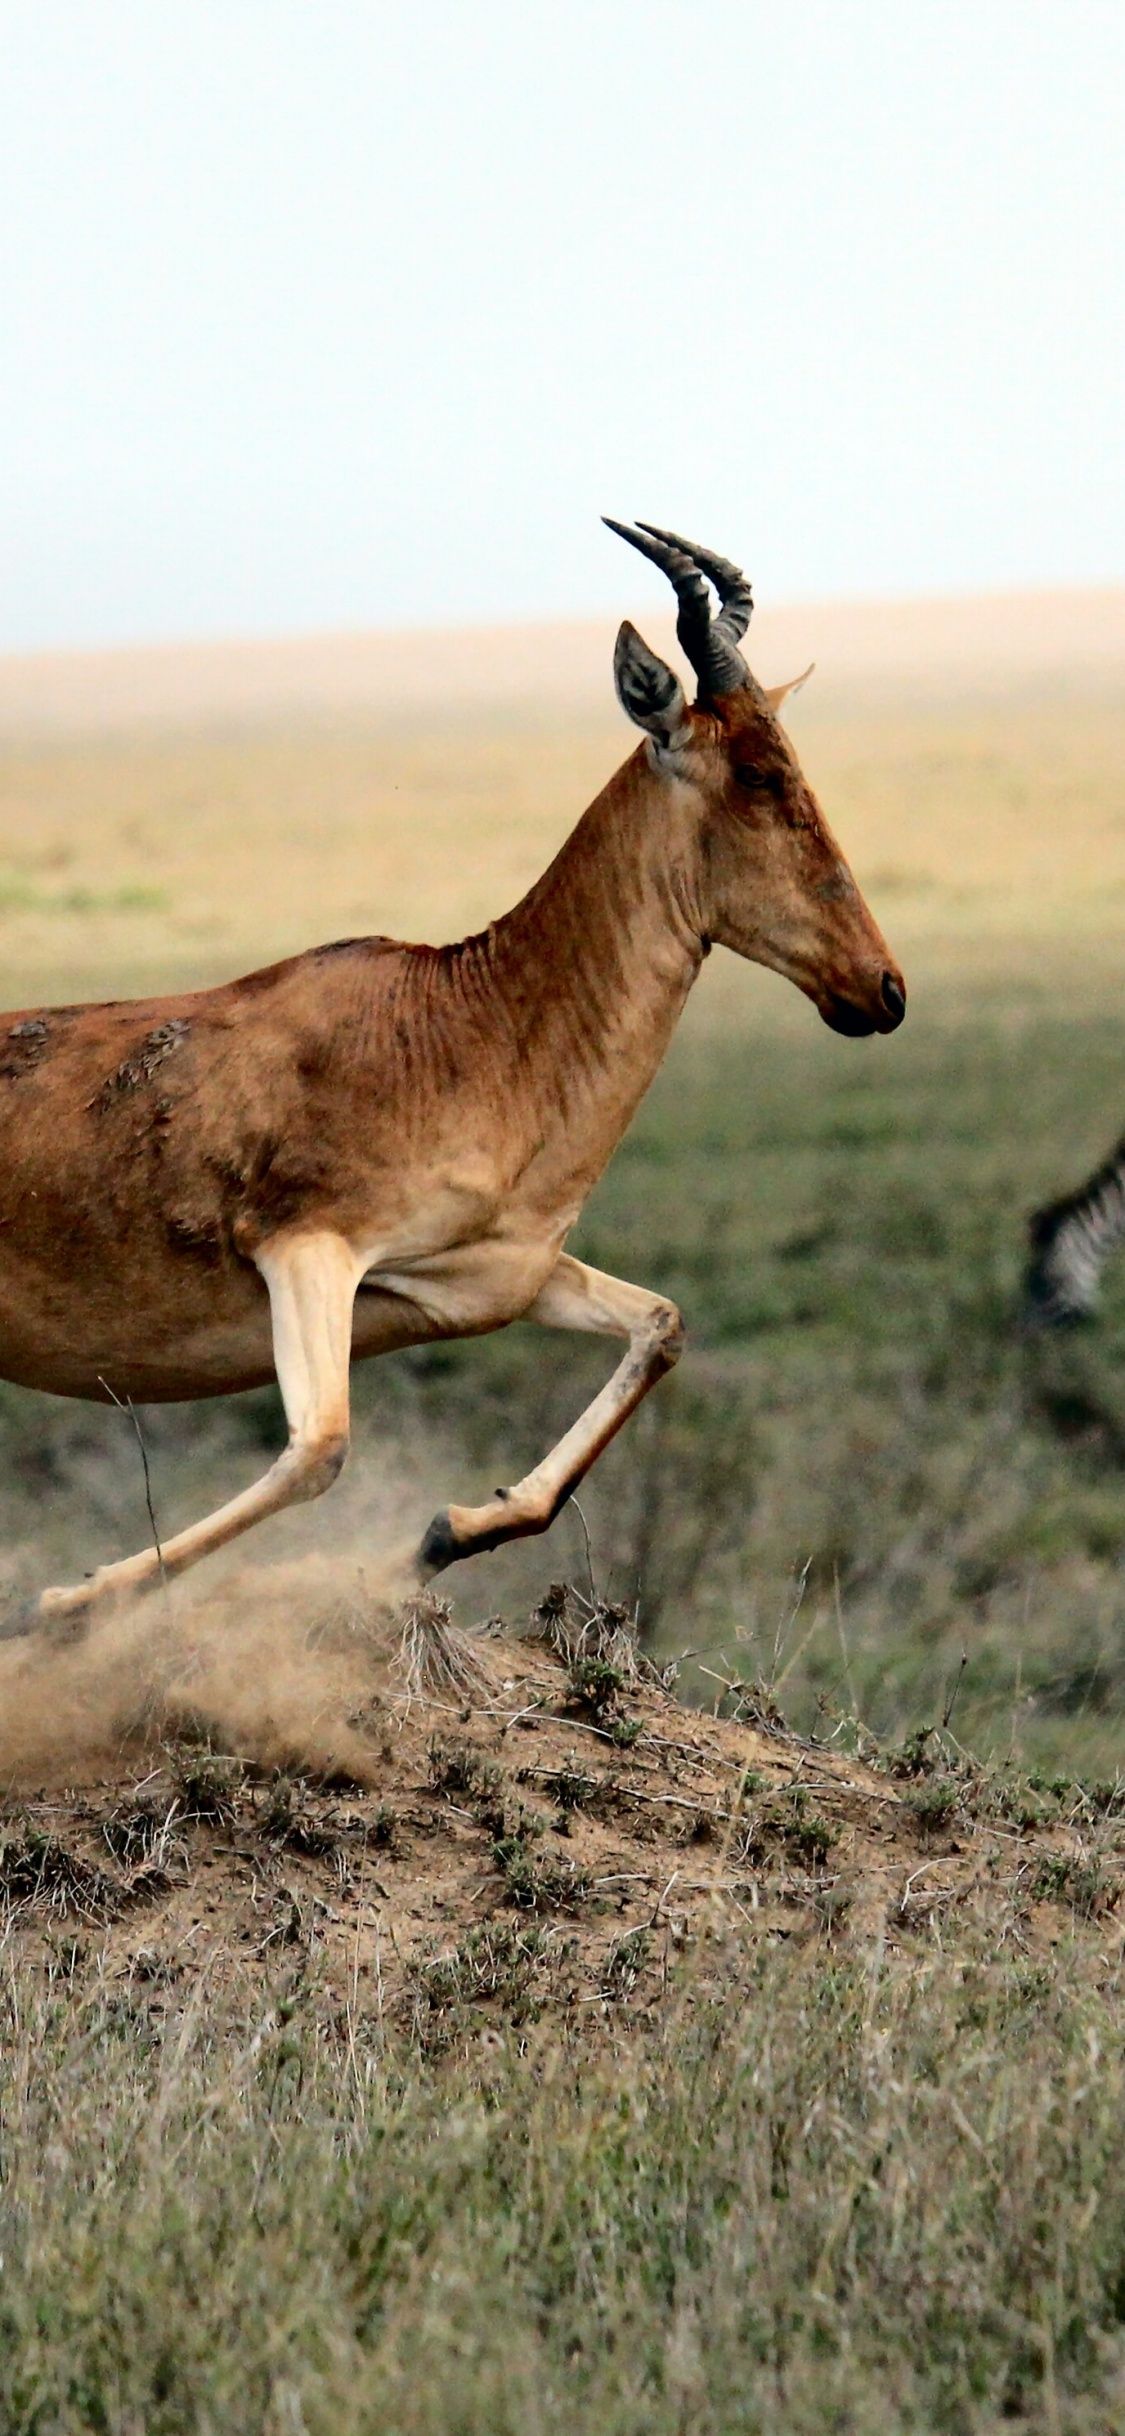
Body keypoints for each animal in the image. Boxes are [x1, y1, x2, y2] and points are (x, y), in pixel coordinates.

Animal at [0, 522, 905, 1636]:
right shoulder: (307, 1251)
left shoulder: (500, 1278)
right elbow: (319, 1450)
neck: (461, 1022)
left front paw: (436, 1539)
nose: (879, 988)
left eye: (789, 760)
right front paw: (63, 1600)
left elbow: (661, 1328)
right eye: (756, 773)